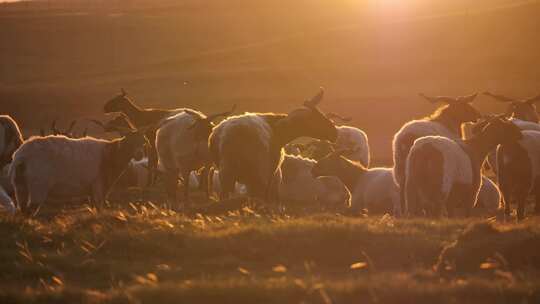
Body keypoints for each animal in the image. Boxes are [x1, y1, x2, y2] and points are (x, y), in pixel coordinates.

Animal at [10, 131, 149, 214]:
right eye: (130, 142)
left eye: (142, 142)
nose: (139, 154)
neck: (110, 154)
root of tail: (21, 156)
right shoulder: (98, 186)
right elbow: (99, 207)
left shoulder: (92, 191)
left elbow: (94, 207)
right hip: (38, 185)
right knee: (31, 209)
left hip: (20, 185)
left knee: (22, 209)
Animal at [208, 88, 338, 202]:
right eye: (316, 117)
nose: (334, 132)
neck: (278, 129)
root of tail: (231, 135)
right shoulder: (273, 173)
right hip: (257, 172)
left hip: (227, 172)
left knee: (225, 195)